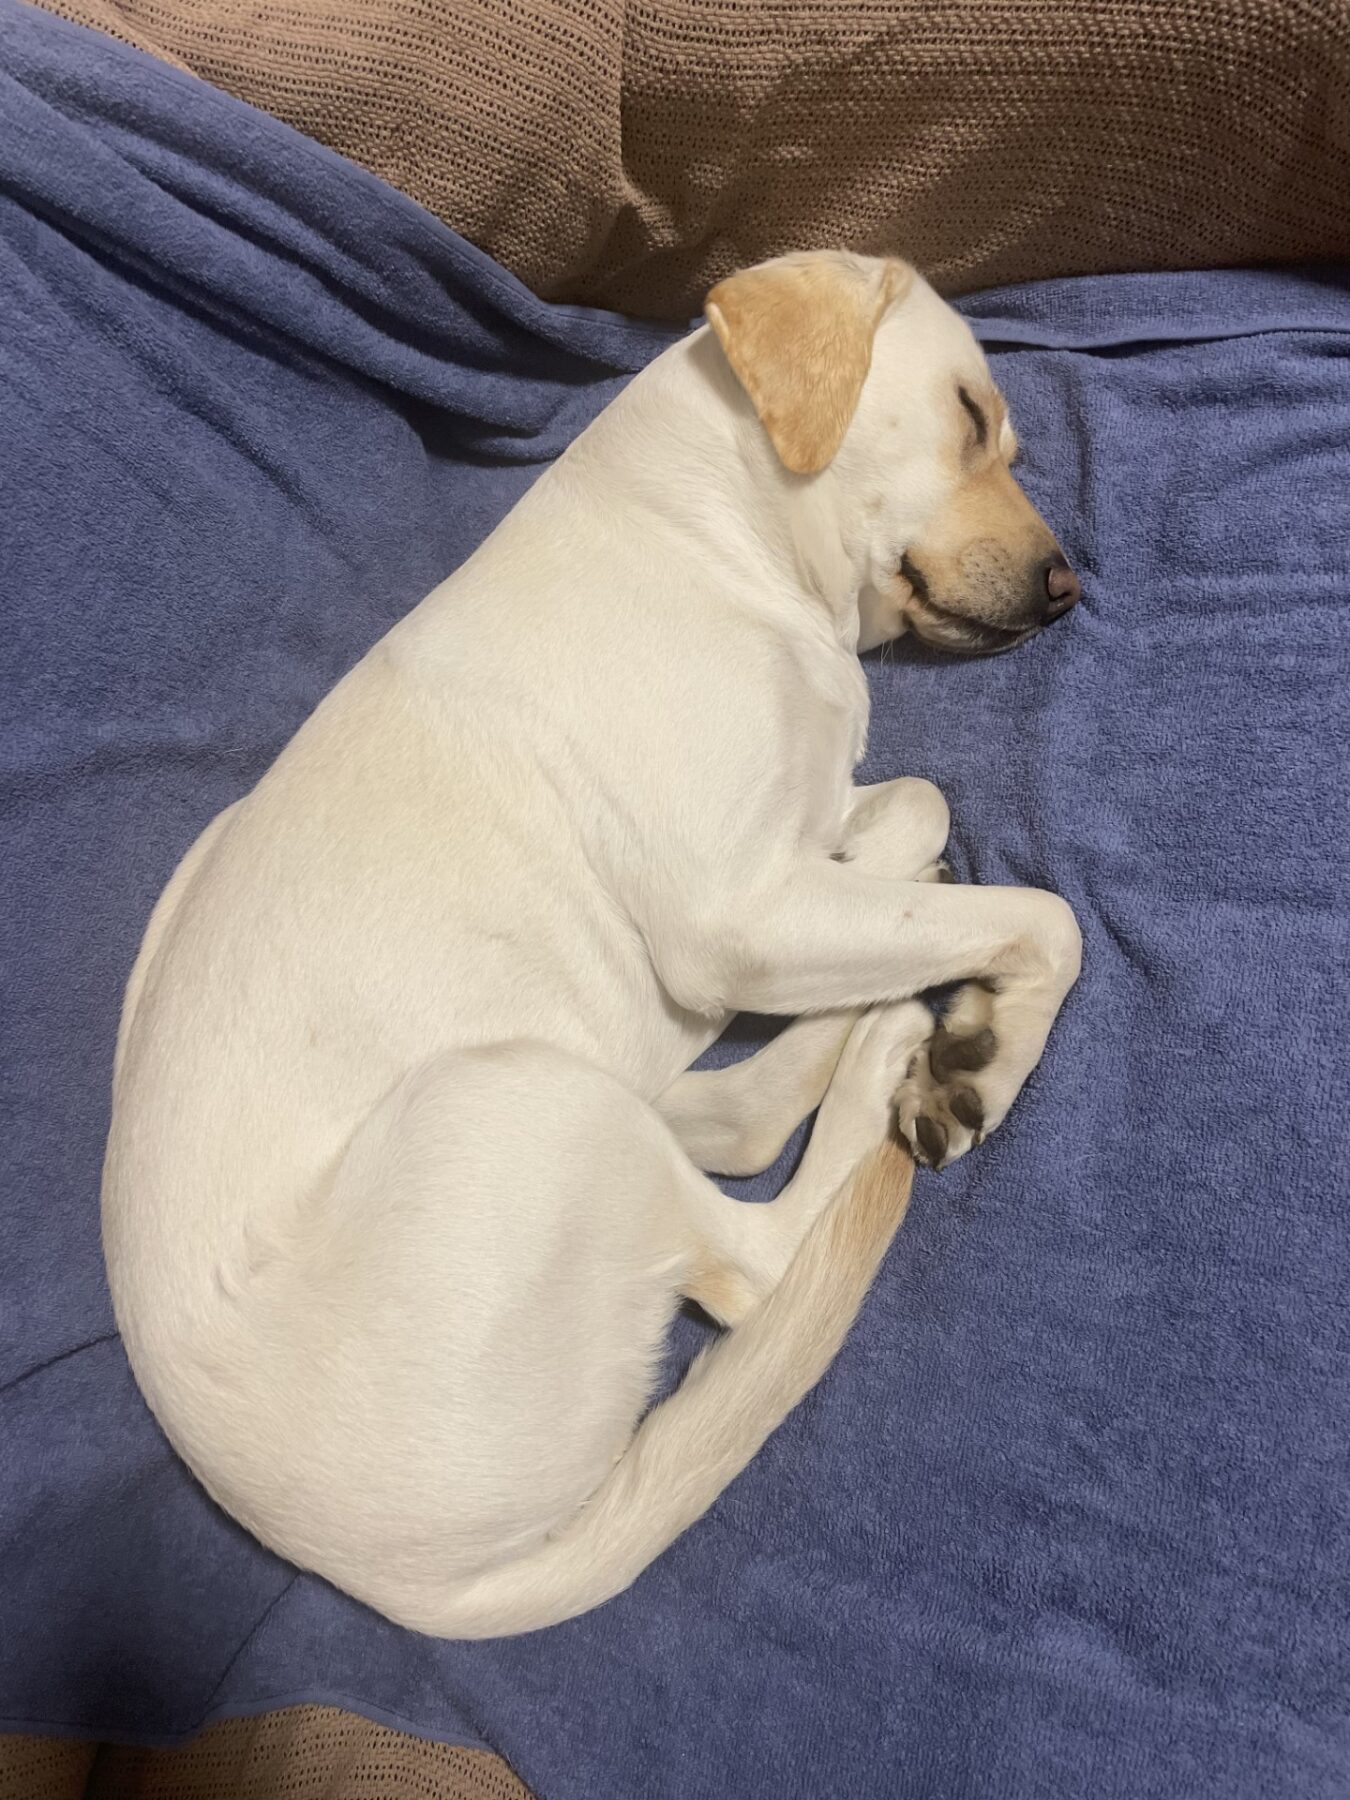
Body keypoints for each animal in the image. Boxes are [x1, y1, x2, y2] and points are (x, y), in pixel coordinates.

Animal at [100, 253, 1087, 1648]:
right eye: (967, 415)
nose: (1070, 587)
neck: (717, 534)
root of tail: (410, 1587)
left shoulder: (796, 838)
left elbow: (919, 809)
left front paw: (904, 924)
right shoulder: (736, 916)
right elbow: (1042, 915)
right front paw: (986, 1053)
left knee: (723, 1125)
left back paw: (861, 1030)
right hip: (514, 1106)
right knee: (758, 1258)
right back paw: (889, 1048)